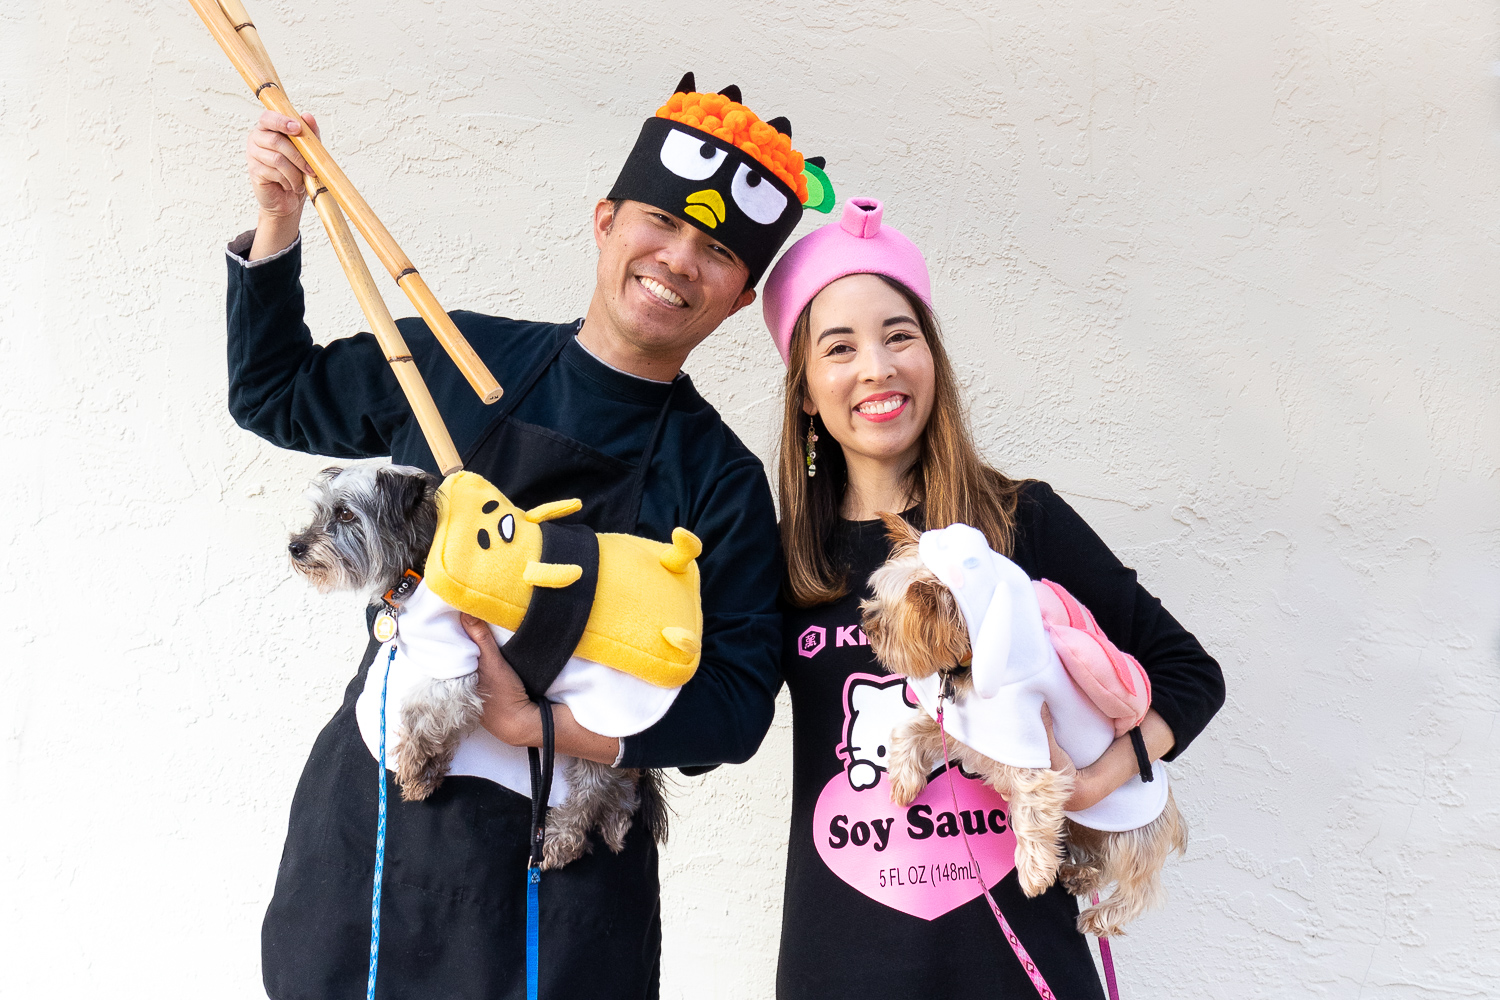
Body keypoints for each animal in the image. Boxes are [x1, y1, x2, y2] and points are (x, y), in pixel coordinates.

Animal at [289, 464, 666, 869]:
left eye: (346, 514)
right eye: (319, 510)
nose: (295, 546)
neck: (421, 561)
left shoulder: (459, 659)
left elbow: (419, 711)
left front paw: (416, 763)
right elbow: (439, 718)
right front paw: (430, 770)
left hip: (596, 729)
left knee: (592, 793)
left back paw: (562, 839)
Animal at [864, 515, 1188, 941]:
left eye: (887, 619)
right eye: (875, 602)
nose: (865, 622)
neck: (969, 664)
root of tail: (1174, 815)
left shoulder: (1035, 760)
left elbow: (1030, 815)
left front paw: (1033, 873)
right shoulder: (964, 731)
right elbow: (907, 731)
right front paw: (903, 783)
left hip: (1131, 835)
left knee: (1140, 885)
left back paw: (1102, 915)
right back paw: (1080, 875)